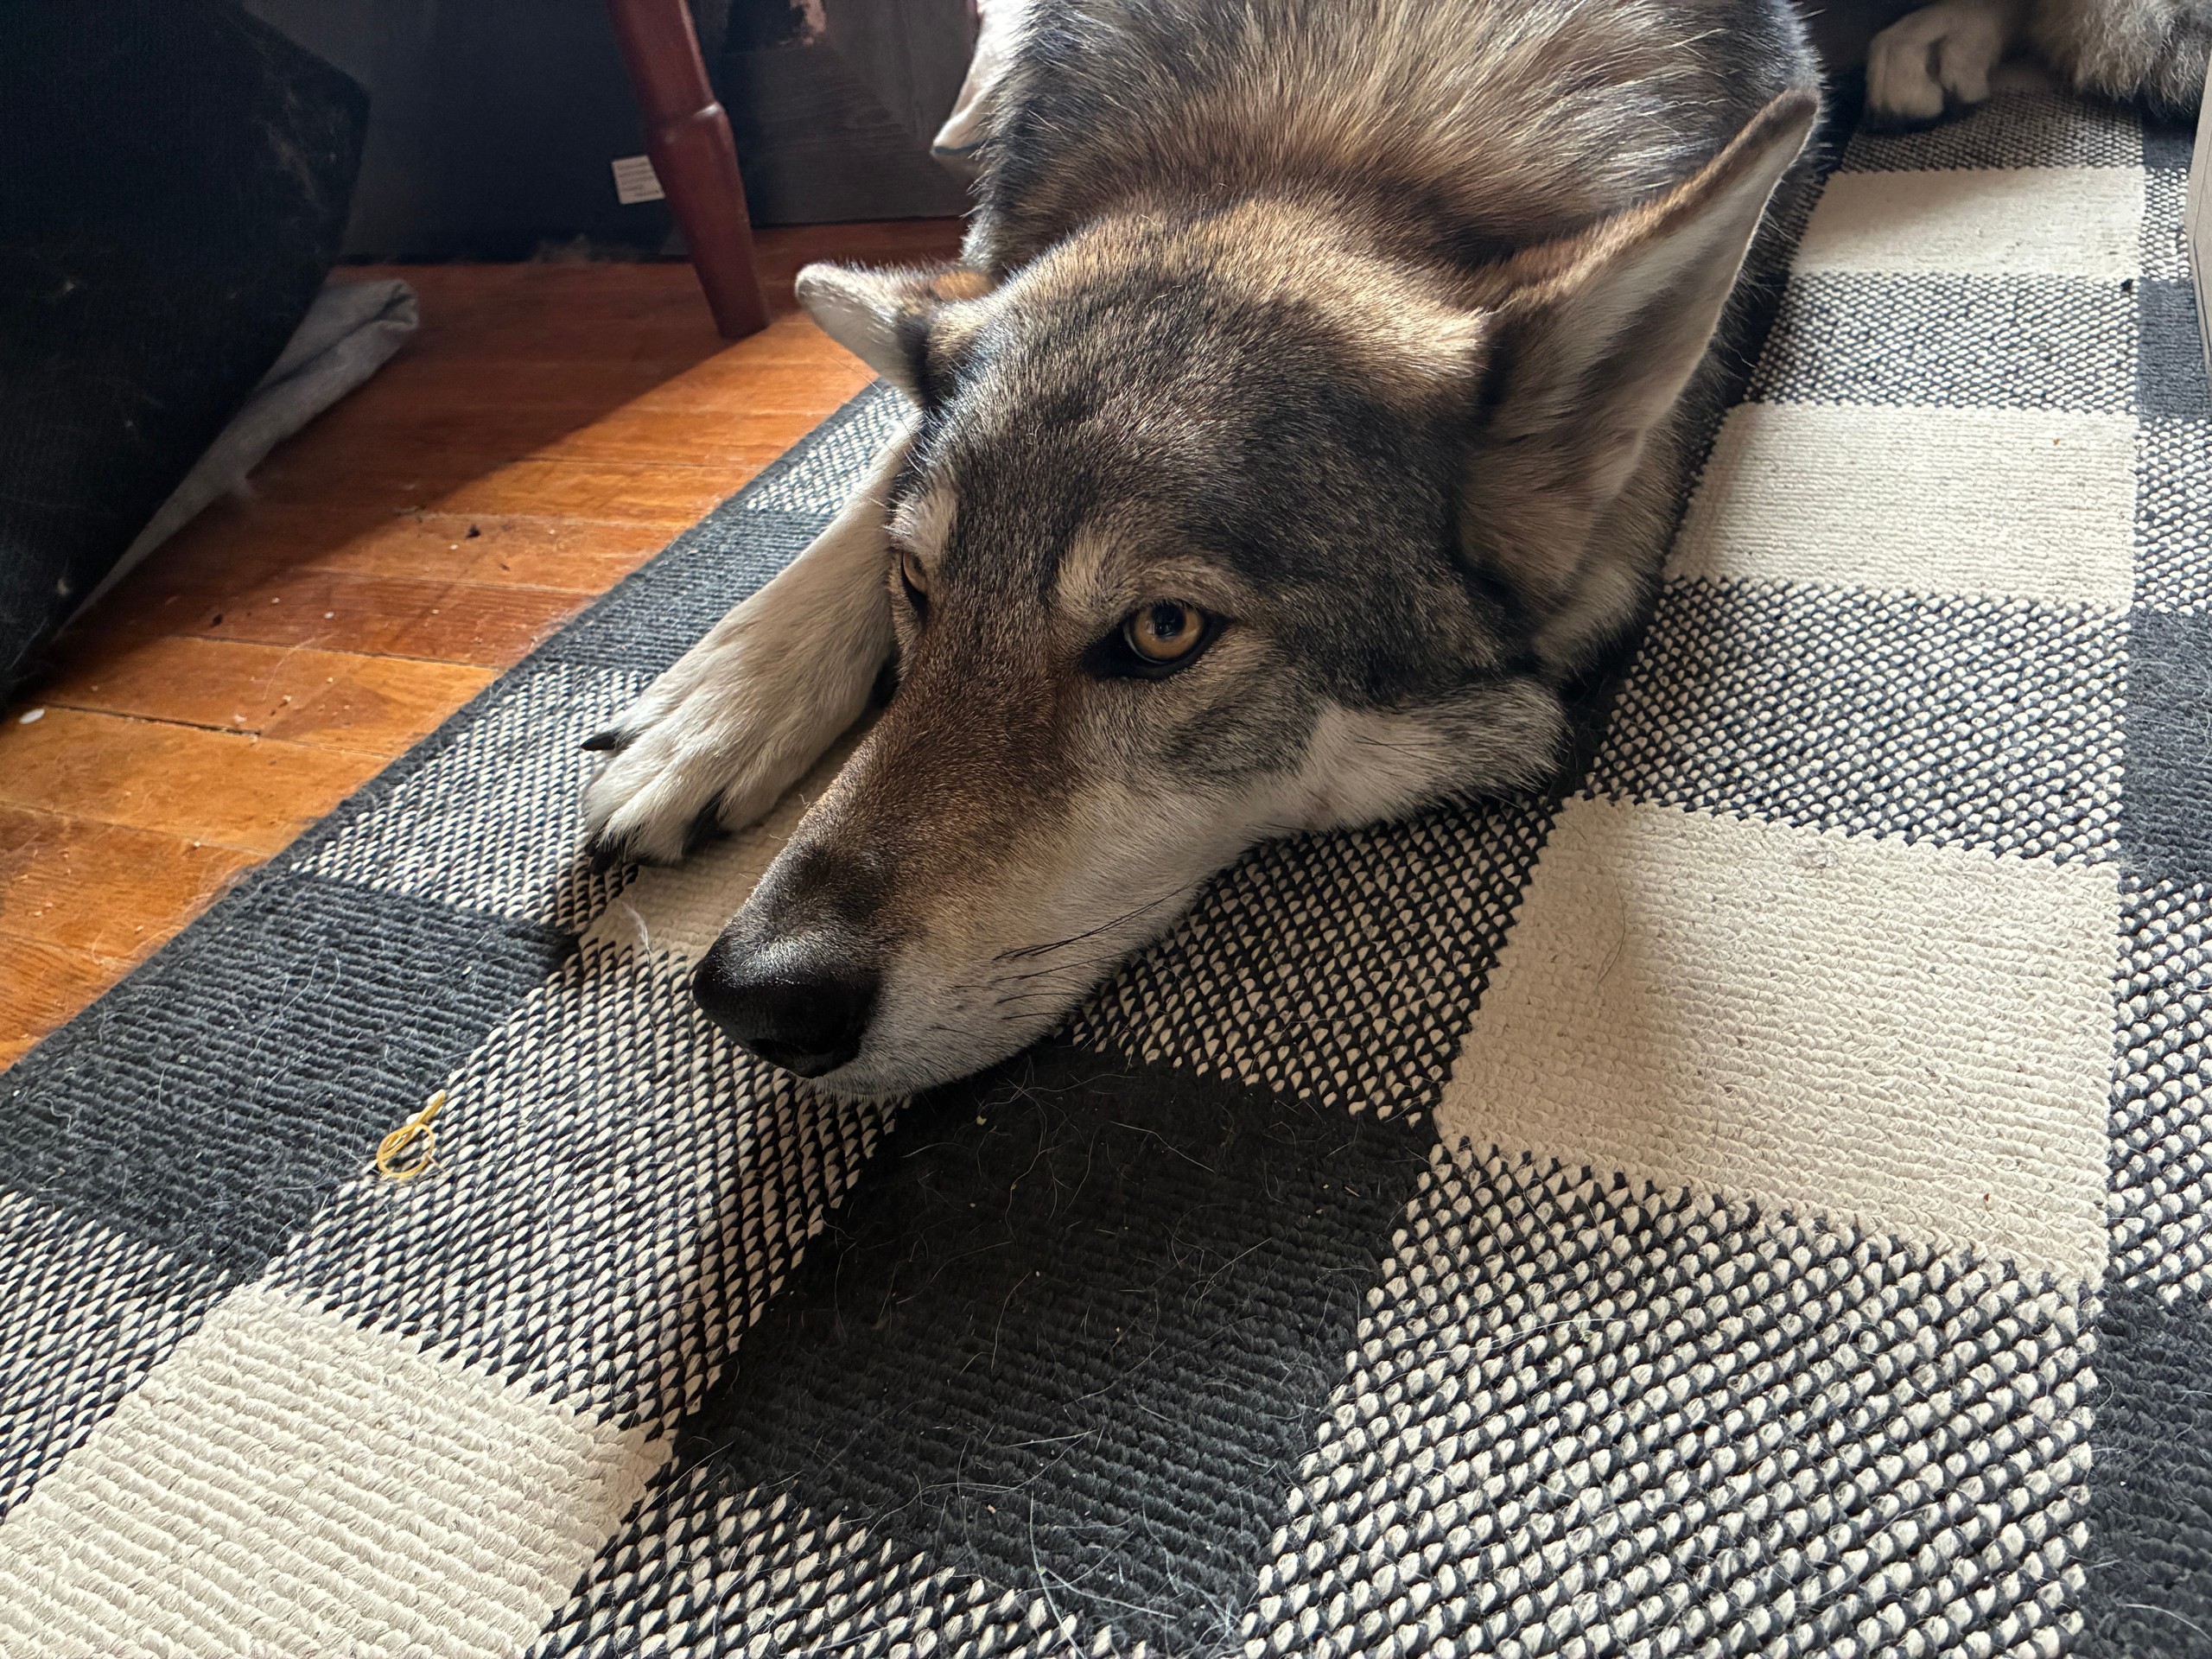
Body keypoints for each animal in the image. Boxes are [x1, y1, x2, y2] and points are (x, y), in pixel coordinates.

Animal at [583, 0, 1830, 1097]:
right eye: (918, 586)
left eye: (1163, 632)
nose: (755, 997)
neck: (1310, 150)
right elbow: (882, 463)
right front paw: (713, 711)